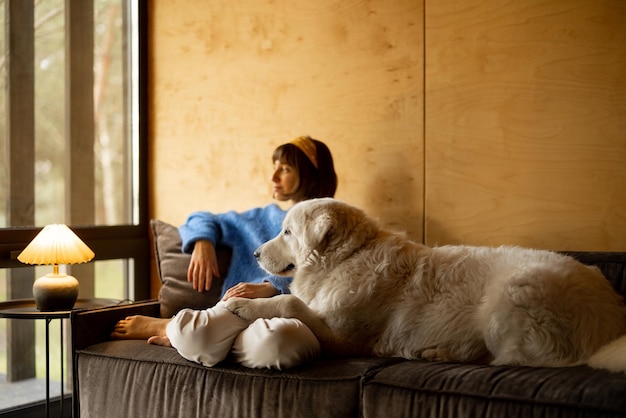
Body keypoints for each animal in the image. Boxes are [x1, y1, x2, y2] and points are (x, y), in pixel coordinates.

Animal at [227, 199, 624, 372]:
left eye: (287, 232)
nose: (255, 253)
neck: (349, 256)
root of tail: (613, 317)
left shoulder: (343, 339)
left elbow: (291, 304)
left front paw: (245, 305)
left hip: (510, 295)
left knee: (517, 359)